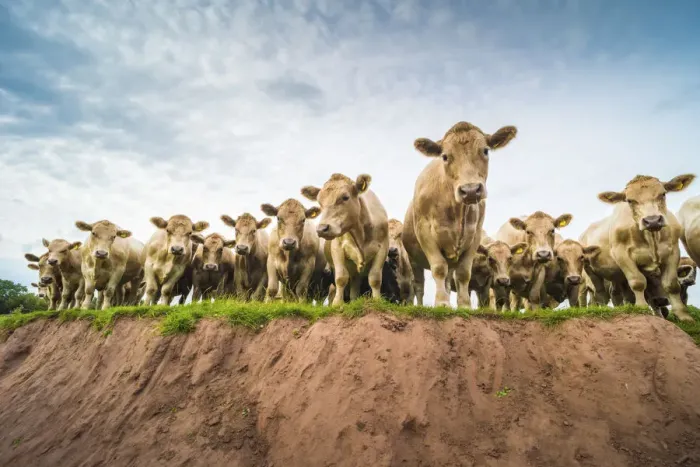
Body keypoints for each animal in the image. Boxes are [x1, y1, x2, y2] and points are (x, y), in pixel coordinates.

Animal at [301, 173, 389, 306]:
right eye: (320, 202)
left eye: (345, 197)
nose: (322, 229)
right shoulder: (337, 248)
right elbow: (341, 277)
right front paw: (337, 303)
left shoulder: (383, 248)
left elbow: (375, 278)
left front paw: (377, 300)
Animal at [402, 121, 517, 307]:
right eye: (444, 156)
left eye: (485, 150)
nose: (470, 190)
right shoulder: (424, 232)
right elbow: (438, 268)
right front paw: (442, 303)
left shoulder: (475, 236)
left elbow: (463, 273)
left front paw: (464, 305)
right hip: (413, 260)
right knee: (419, 285)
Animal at [596, 173, 695, 321]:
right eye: (630, 200)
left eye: (663, 194)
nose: (652, 220)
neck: (651, 236)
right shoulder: (621, 255)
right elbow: (637, 282)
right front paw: (641, 309)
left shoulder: (673, 251)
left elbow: (671, 284)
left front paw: (683, 315)